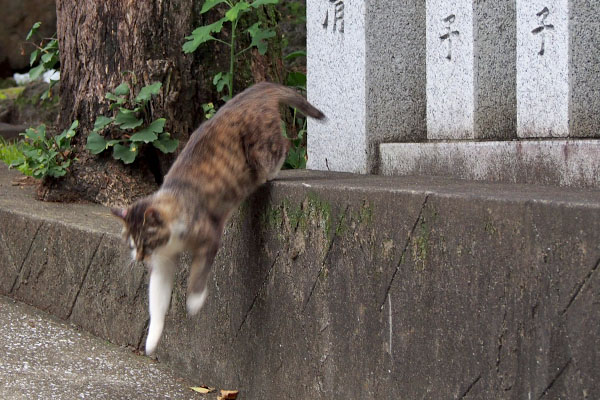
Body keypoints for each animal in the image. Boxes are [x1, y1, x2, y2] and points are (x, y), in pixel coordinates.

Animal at [110, 80, 326, 354]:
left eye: (146, 242)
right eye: (132, 244)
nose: (139, 259)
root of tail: (257, 89)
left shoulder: (209, 235)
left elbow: (198, 272)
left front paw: (194, 301)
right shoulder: (163, 263)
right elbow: (157, 298)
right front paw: (151, 340)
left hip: (261, 149)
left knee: (286, 144)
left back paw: (270, 174)